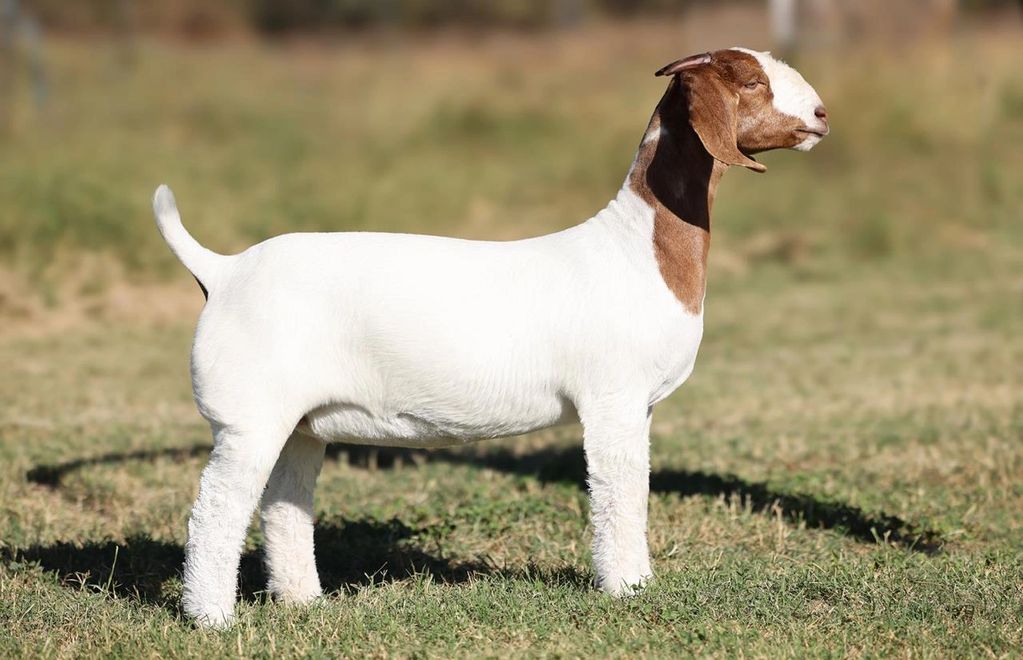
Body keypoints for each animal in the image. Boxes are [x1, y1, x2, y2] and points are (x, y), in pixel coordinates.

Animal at [153, 47, 828, 628]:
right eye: (751, 81)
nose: (822, 114)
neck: (639, 248)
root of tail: (224, 270)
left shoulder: (636, 407)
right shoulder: (612, 402)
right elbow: (619, 497)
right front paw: (629, 591)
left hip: (300, 425)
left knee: (283, 508)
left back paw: (302, 603)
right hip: (249, 419)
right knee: (216, 511)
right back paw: (211, 618)